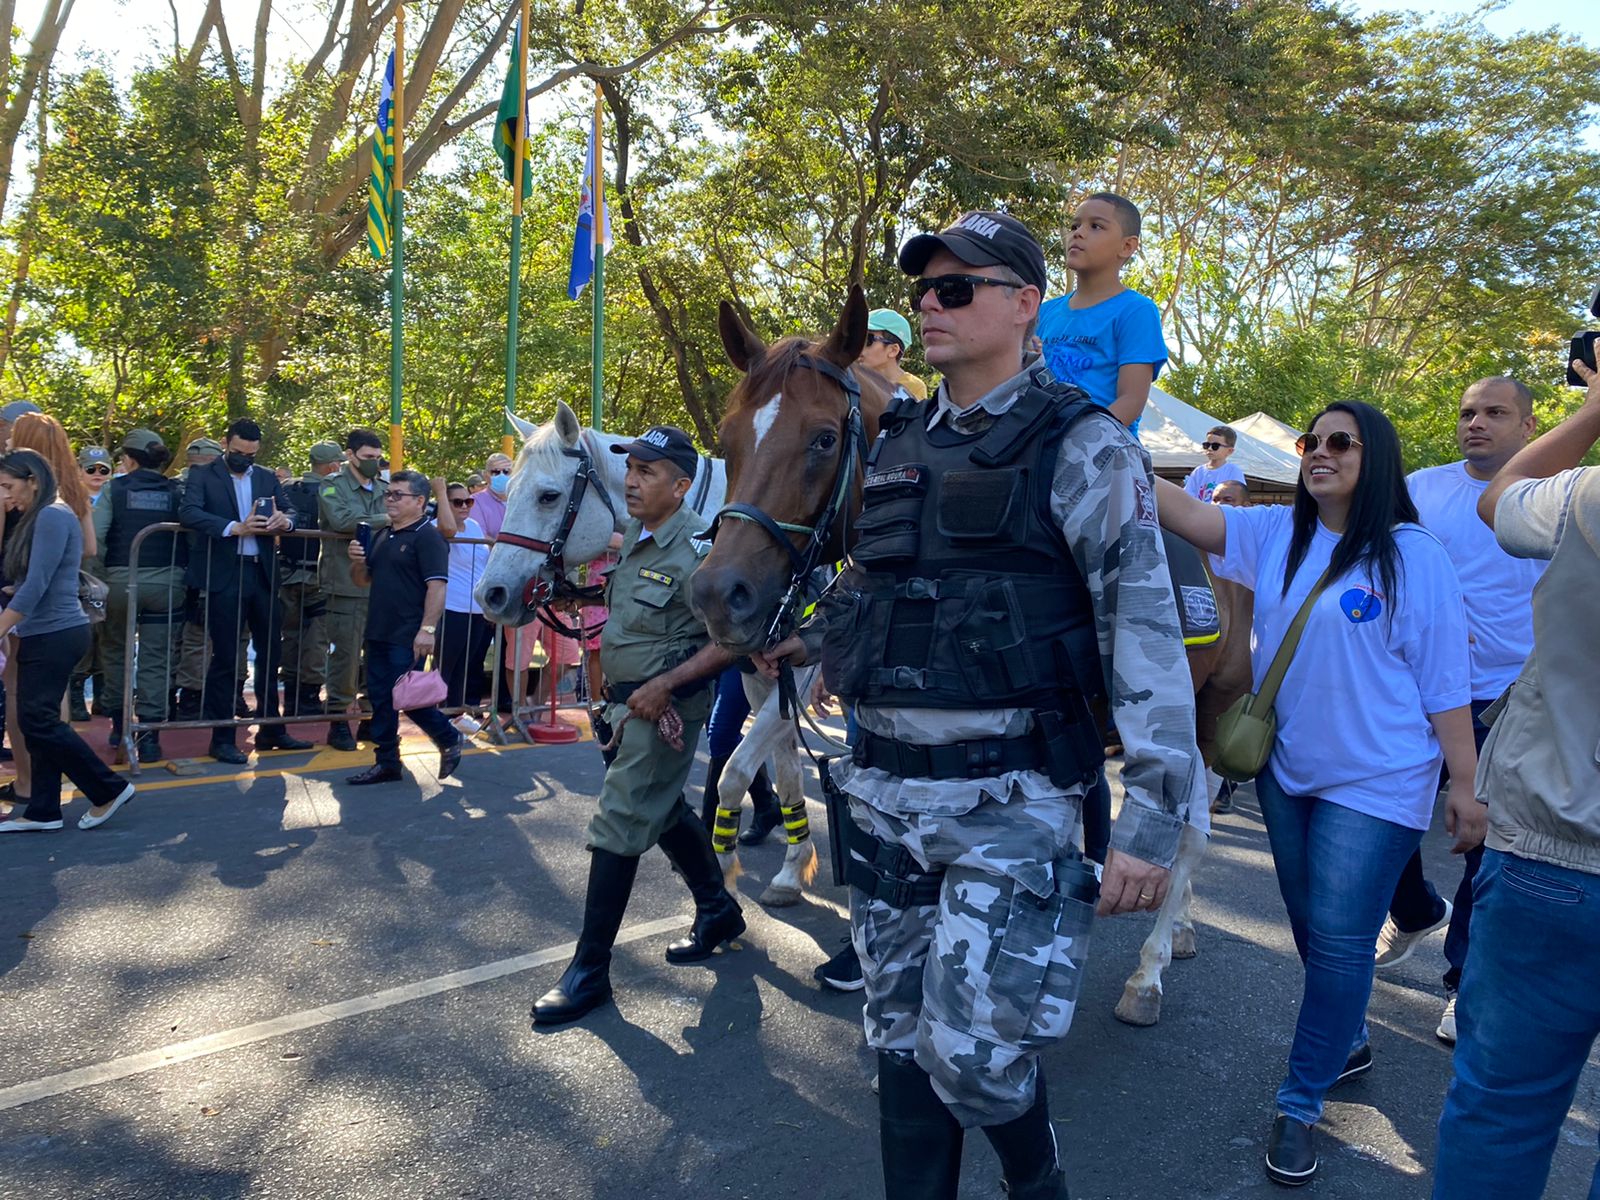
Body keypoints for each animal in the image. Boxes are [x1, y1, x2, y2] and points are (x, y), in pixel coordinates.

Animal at [470, 400, 825, 908]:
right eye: (510, 489)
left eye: (548, 496)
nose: (491, 594)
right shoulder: (763, 678)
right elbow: (789, 769)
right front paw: (792, 871)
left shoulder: (804, 670)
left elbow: (734, 773)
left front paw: (727, 868)